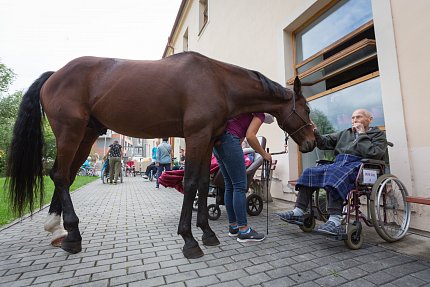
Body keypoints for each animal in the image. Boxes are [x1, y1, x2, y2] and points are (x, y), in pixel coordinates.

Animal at [5, 52, 316, 260]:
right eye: (307, 109)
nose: (312, 142)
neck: (218, 82)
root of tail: (55, 75)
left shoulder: (208, 139)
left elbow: (204, 184)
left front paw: (207, 232)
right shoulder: (197, 136)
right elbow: (190, 184)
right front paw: (189, 240)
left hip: (85, 134)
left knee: (64, 176)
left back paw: (59, 231)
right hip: (70, 132)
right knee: (59, 175)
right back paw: (73, 234)